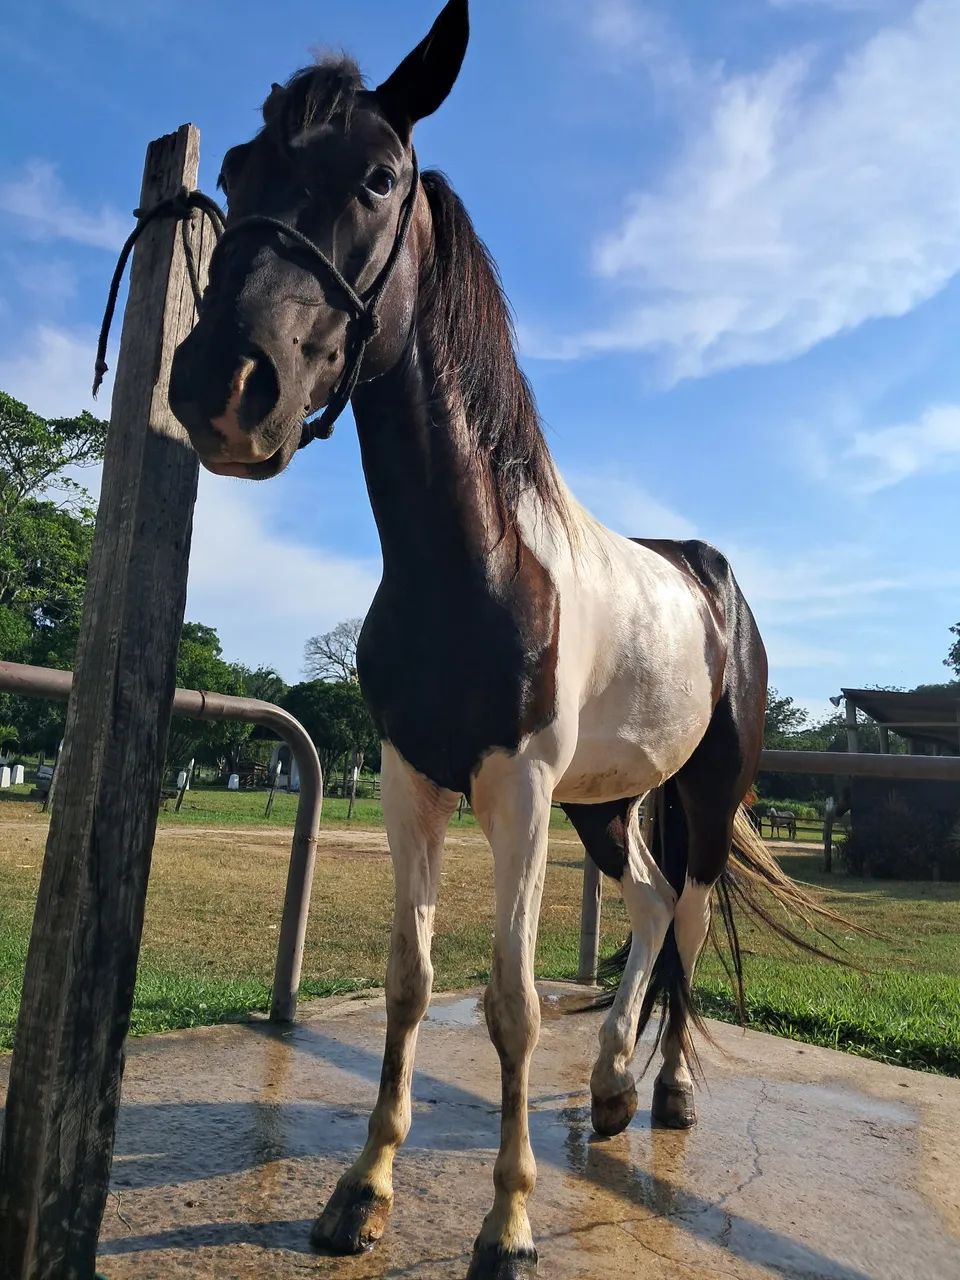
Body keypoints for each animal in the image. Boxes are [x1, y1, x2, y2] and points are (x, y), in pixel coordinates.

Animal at [168, 3, 841, 1274]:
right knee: (644, 903)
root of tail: (713, 580)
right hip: (608, 801)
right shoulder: (410, 778)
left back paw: (670, 1088)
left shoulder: (518, 787)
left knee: (686, 909)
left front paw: (511, 1220)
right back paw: (615, 1083)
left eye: (378, 178)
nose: (223, 387)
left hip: (704, 791)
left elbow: (515, 1000)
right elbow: (410, 978)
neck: (475, 558)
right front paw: (363, 1189)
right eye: (234, 173)